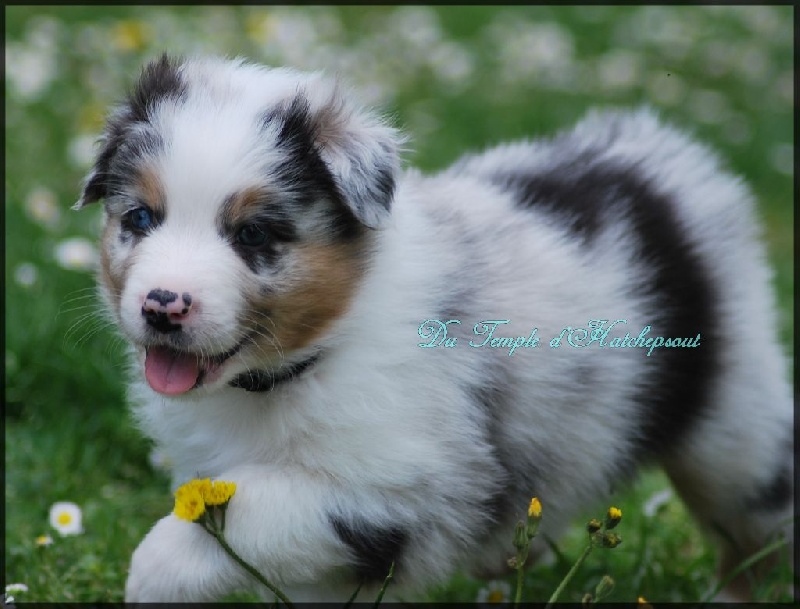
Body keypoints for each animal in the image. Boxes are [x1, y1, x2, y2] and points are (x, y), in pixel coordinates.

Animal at [75, 54, 794, 602]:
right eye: (140, 219)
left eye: (252, 235)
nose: (163, 306)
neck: (313, 354)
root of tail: (663, 157)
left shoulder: (390, 485)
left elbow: (226, 521)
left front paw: (148, 579)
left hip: (736, 423)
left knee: (756, 523)